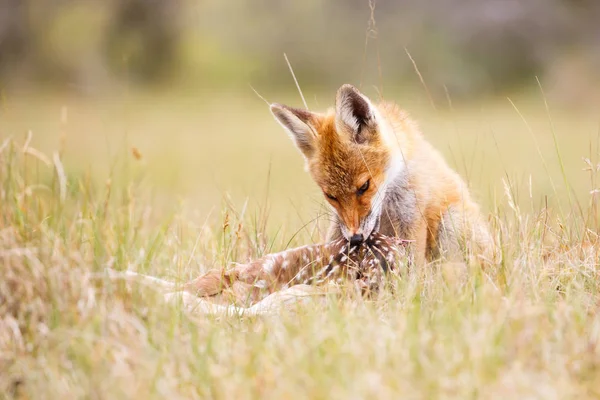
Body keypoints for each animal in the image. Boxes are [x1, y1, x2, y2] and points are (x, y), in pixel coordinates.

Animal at [270, 85, 494, 266]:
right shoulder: (339, 225)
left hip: (451, 222)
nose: (356, 239)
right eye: (331, 196)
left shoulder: (410, 219)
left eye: (364, 186)